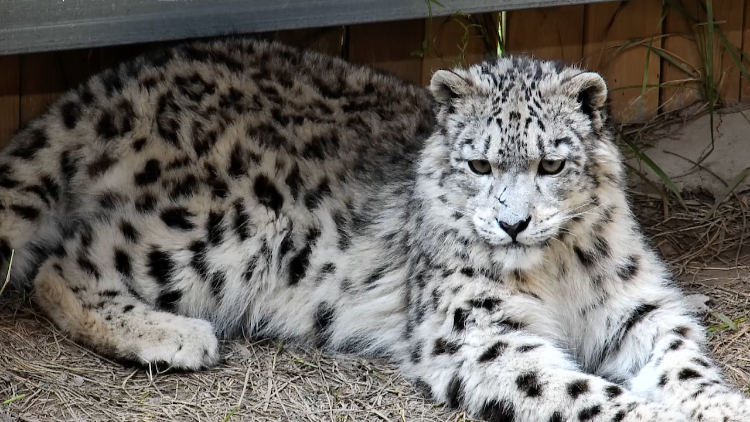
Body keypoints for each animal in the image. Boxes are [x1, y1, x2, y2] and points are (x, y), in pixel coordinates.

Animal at [0, 37, 747, 421]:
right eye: (479, 162)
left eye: (551, 162)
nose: (512, 224)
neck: (557, 270)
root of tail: (118, 83)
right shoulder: (479, 333)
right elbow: (579, 389)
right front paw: (652, 414)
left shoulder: (636, 306)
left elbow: (681, 357)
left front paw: (720, 405)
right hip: (216, 229)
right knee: (63, 263)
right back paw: (173, 336)